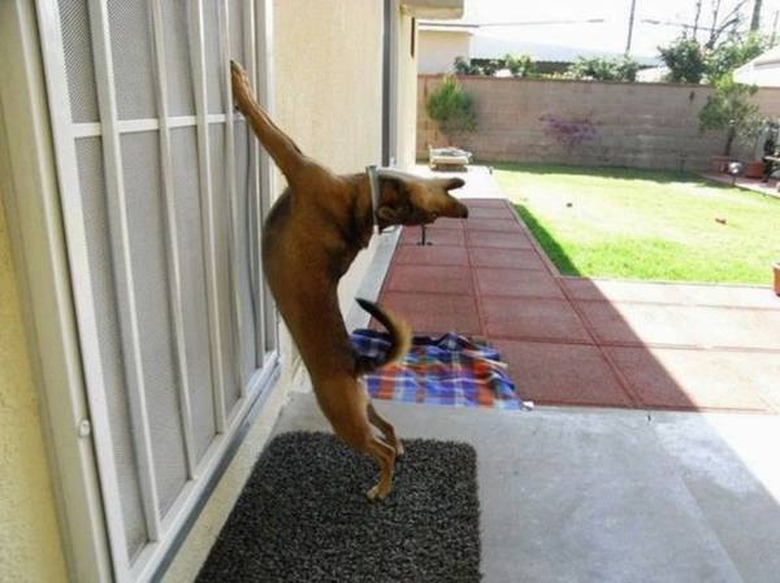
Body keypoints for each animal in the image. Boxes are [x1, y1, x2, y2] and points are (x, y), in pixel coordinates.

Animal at [229, 60, 466, 502]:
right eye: (427, 213)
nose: (460, 206)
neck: (363, 202)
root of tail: (358, 364)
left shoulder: (293, 160)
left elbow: (263, 122)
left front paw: (240, 86)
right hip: (363, 407)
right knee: (388, 428)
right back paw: (401, 449)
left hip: (344, 420)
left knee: (380, 448)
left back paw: (382, 487)